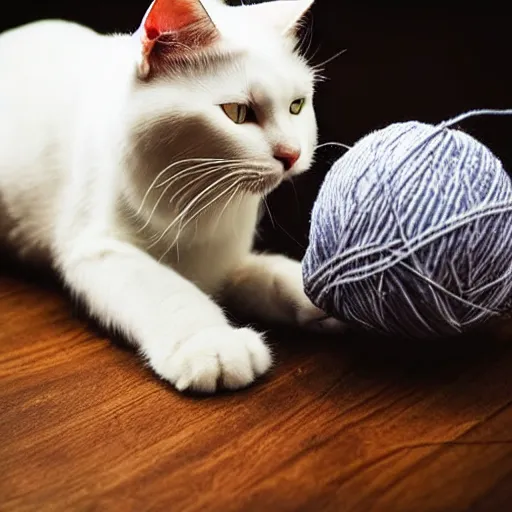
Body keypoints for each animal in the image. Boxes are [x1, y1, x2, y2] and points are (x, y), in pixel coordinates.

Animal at [0, 0, 344, 392]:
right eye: (237, 112)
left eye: (296, 106)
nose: (292, 154)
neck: (199, 204)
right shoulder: (99, 247)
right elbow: (168, 292)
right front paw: (212, 344)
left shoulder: (223, 262)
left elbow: (272, 273)